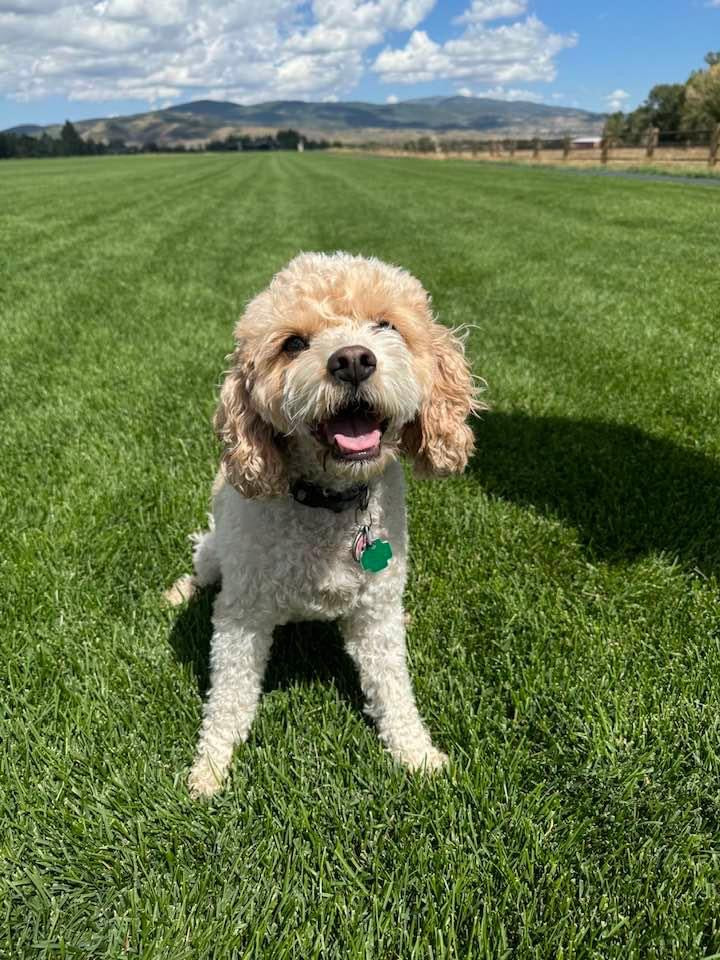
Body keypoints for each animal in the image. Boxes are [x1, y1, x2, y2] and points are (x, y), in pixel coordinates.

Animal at [168, 249, 480, 796]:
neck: (329, 504)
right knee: (203, 563)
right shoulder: (243, 613)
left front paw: (418, 754)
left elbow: (393, 688)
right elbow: (229, 695)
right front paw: (210, 769)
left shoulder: (375, 609)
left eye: (386, 325)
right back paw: (183, 590)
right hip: (214, 551)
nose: (353, 359)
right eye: (293, 343)